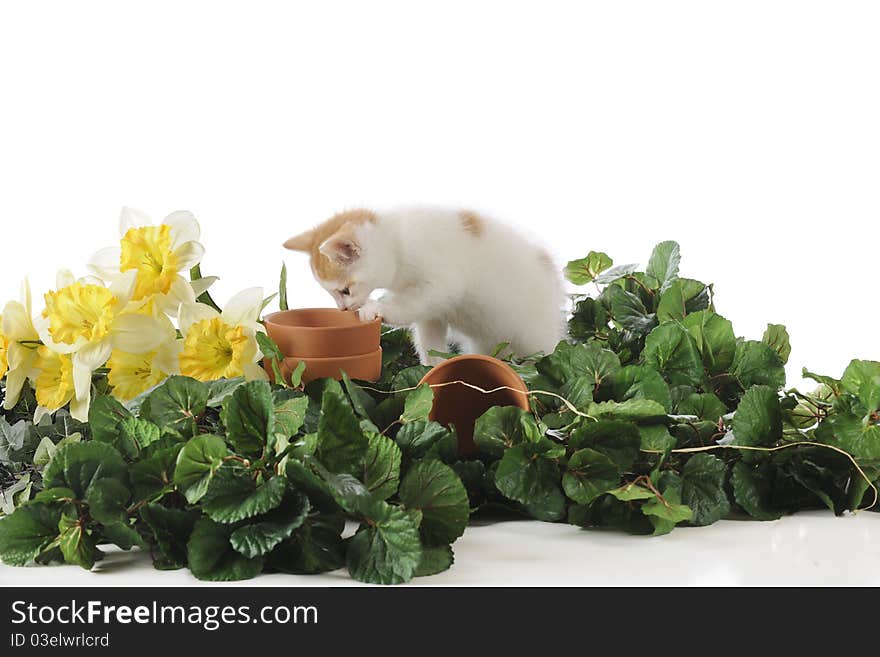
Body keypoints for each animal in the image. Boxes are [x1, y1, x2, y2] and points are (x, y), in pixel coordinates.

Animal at [286, 206, 568, 364]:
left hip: (536, 340)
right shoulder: (431, 312)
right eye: (332, 294)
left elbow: (409, 305)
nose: (343, 310)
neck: (395, 242)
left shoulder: (442, 283)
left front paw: (375, 309)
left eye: (345, 290)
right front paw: (431, 369)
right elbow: (428, 337)